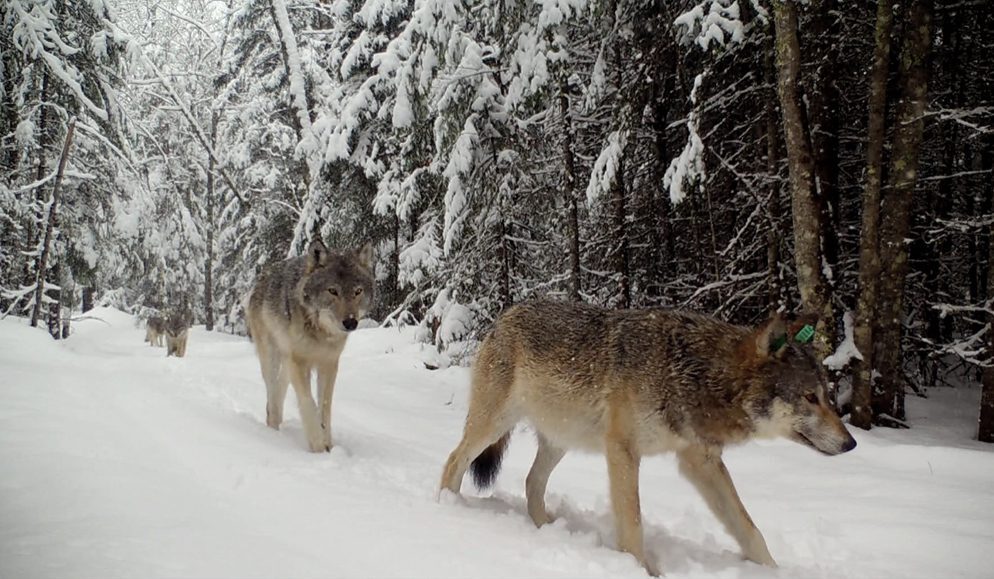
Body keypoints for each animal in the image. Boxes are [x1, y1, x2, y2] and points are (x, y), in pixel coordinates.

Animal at [246, 239, 374, 454]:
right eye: (333, 291)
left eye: (358, 291)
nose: (350, 322)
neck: (320, 332)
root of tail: (265, 274)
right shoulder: (299, 363)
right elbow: (308, 404)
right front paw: (318, 449)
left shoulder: (329, 364)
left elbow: (325, 407)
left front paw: (328, 446)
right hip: (271, 358)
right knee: (271, 394)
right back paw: (272, 429)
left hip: (286, 361)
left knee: (279, 389)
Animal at [438, 302, 856, 576]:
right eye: (810, 397)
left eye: (827, 396)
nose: (851, 443)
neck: (694, 375)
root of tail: (505, 314)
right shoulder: (623, 450)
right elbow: (634, 523)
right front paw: (639, 569)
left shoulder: (701, 461)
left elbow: (749, 529)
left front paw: (772, 570)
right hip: (494, 425)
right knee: (453, 462)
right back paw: (449, 510)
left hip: (561, 439)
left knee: (531, 482)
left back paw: (545, 529)